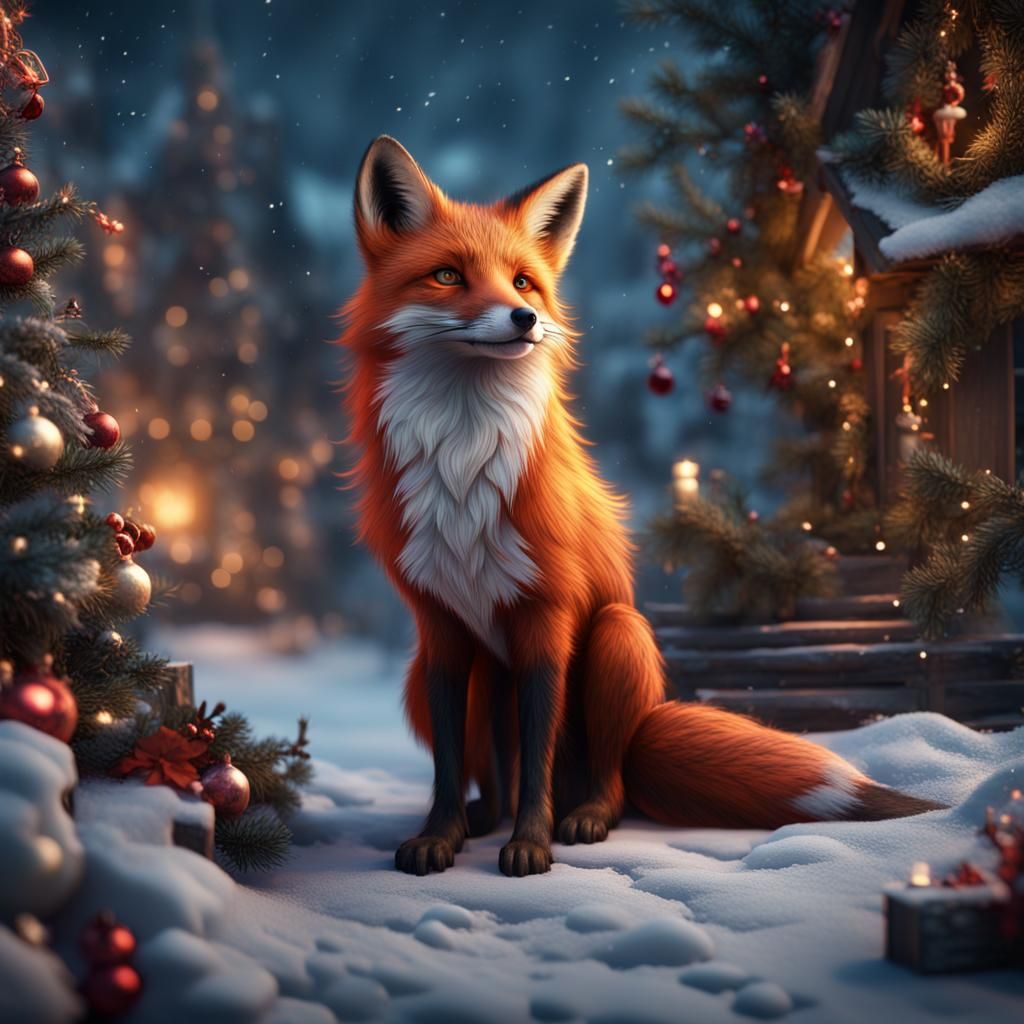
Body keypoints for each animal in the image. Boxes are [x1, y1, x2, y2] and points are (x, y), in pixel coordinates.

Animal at [340, 136, 943, 877]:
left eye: (522, 283)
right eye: (448, 276)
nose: (526, 319)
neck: (463, 466)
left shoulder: (548, 619)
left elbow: (538, 762)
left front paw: (530, 844)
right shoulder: (441, 630)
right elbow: (451, 767)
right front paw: (440, 836)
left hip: (617, 634)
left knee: (610, 778)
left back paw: (584, 817)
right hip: (432, 679)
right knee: (497, 774)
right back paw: (485, 819)